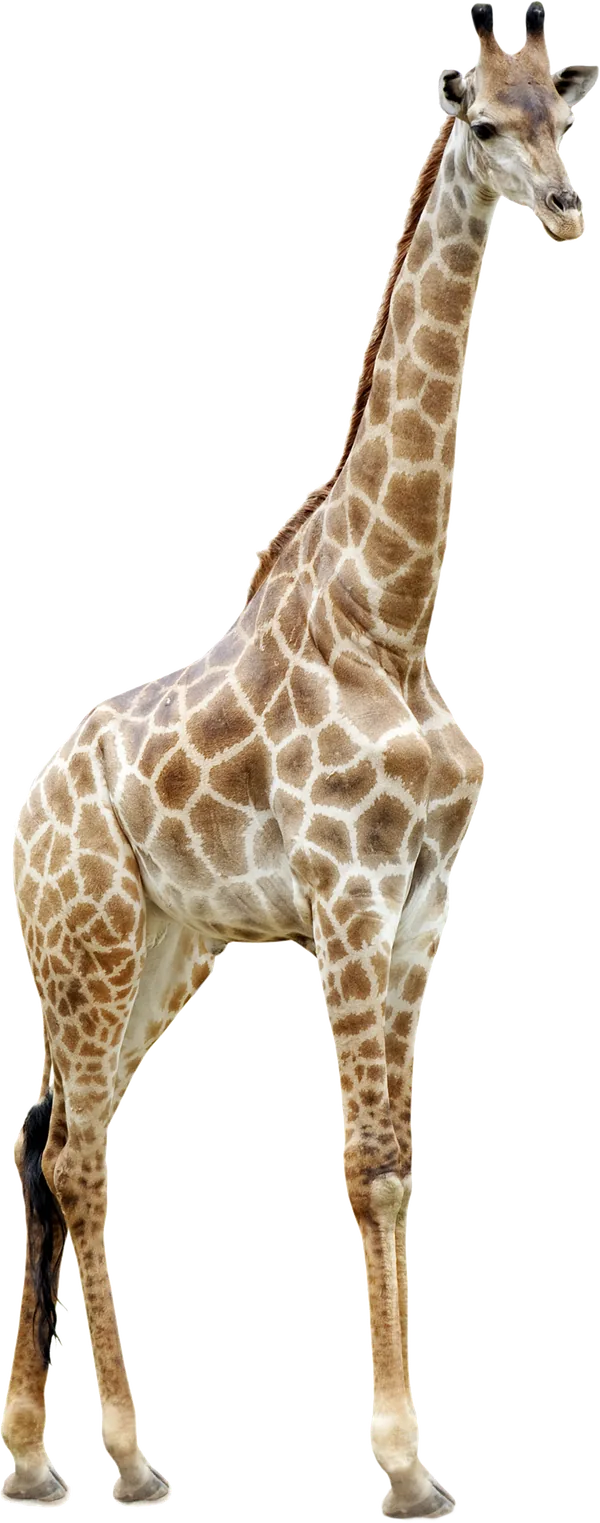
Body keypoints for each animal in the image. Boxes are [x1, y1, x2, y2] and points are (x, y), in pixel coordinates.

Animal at [3, 4, 597, 1514]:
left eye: (564, 117)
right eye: (485, 124)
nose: (566, 209)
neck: (393, 614)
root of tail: (27, 809)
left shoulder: (421, 908)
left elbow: (404, 1164)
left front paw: (419, 1453)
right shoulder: (341, 895)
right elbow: (363, 1163)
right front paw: (400, 1461)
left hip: (165, 946)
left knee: (50, 1135)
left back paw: (36, 1456)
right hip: (88, 938)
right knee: (78, 1150)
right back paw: (130, 1454)